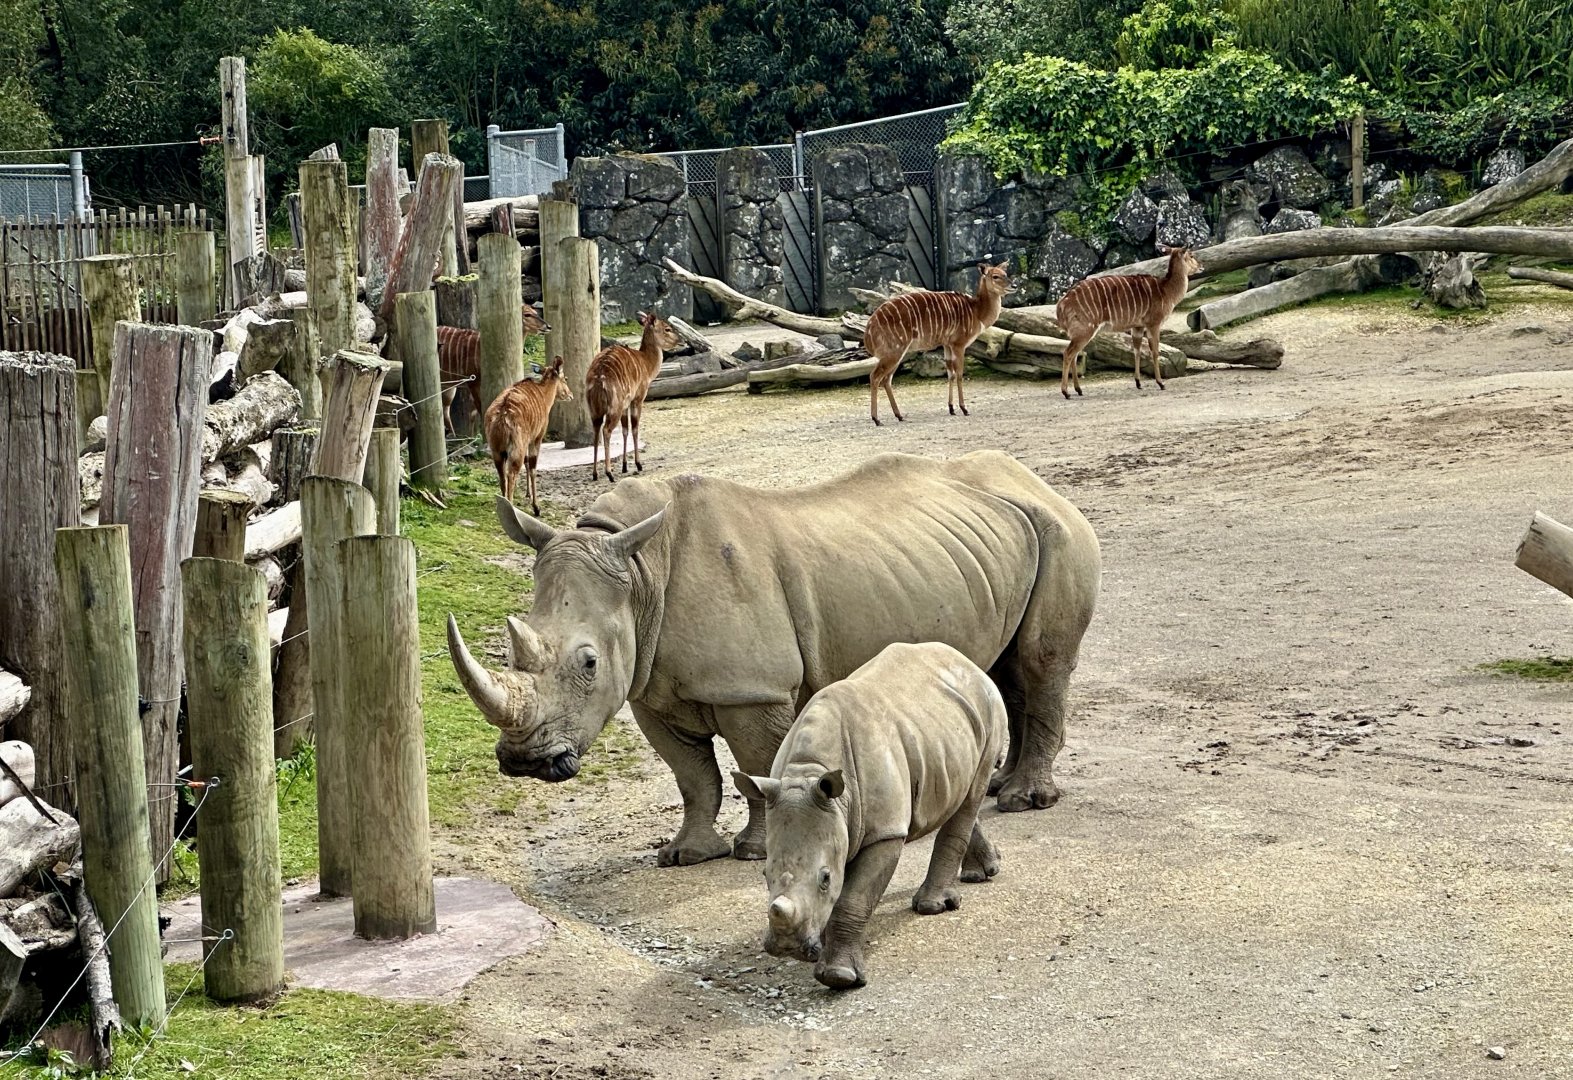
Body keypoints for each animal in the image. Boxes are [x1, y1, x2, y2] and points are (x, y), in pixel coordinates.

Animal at [446, 450, 1101, 867]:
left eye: (587, 663)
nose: (524, 762)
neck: (638, 571)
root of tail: (1036, 481)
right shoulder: (649, 688)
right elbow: (693, 777)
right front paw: (685, 855)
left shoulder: (752, 689)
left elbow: (755, 764)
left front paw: (754, 852)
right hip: (986, 545)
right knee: (1003, 666)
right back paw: (998, 786)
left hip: (1062, 530)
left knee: (1040, 663)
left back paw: (1022, 800)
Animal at [732, 641, 1007, 989]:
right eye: (763, 874)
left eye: (825, 879)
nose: (786, 948)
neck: (809, 772)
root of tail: (966, 662)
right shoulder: (834, 813)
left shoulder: (884, 832)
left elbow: (854, 898)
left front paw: (839, 977)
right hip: (940, 726)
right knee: (953, 794)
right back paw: (983, 872)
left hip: (989, 706)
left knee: (971, 795)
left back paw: (932, 907)